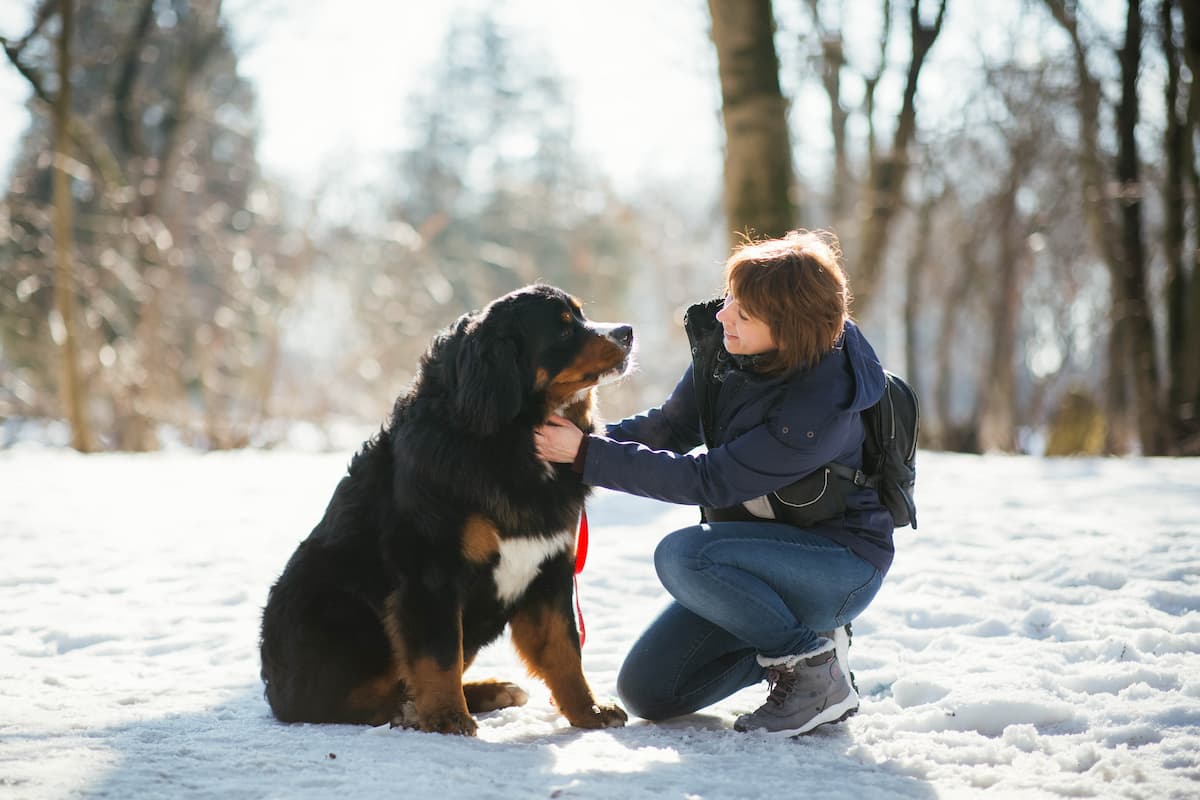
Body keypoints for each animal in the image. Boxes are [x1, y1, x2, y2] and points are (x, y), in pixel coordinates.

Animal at [260, 284, 638, 734]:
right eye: (563, 329)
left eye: (581, 315)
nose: (627, 332)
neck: (511, 436)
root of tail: (275, 689)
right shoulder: (432, 573)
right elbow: (439, 656)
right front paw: (447, 717)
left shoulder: (550, 569)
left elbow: (565, 651)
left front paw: (589, 711)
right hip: (337, 608)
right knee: (340, 702)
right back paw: (413, 710)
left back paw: (490, 691)